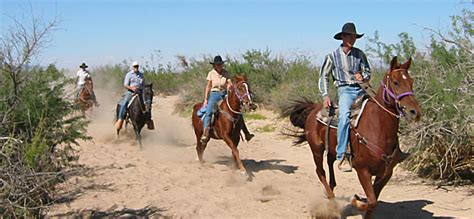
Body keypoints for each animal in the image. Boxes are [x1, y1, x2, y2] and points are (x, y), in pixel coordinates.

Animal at [284, 57, 420, 219]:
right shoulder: (363, 171)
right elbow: (371, 201)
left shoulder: (386, 174)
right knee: (320, 171)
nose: (414, 112)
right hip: (316, 149)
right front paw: (355, 200)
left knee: (330, 164)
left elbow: (373, 202)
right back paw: (333, 204)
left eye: (411, 81)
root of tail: (313, 108)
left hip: (332, 149)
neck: (378, 128)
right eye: (395, 82)